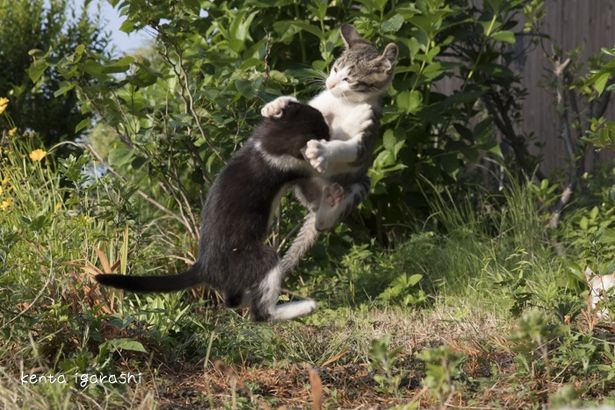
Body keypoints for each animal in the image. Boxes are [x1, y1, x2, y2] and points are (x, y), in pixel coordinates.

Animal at [95, 101, 332, 320]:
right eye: (323, 131)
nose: (329, 134)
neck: (269, 142)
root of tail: (204, 266)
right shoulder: (289, 164)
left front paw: (279, 105)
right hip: (254, 259)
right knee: (260, 312)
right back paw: (299, 307)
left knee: (232, 300)